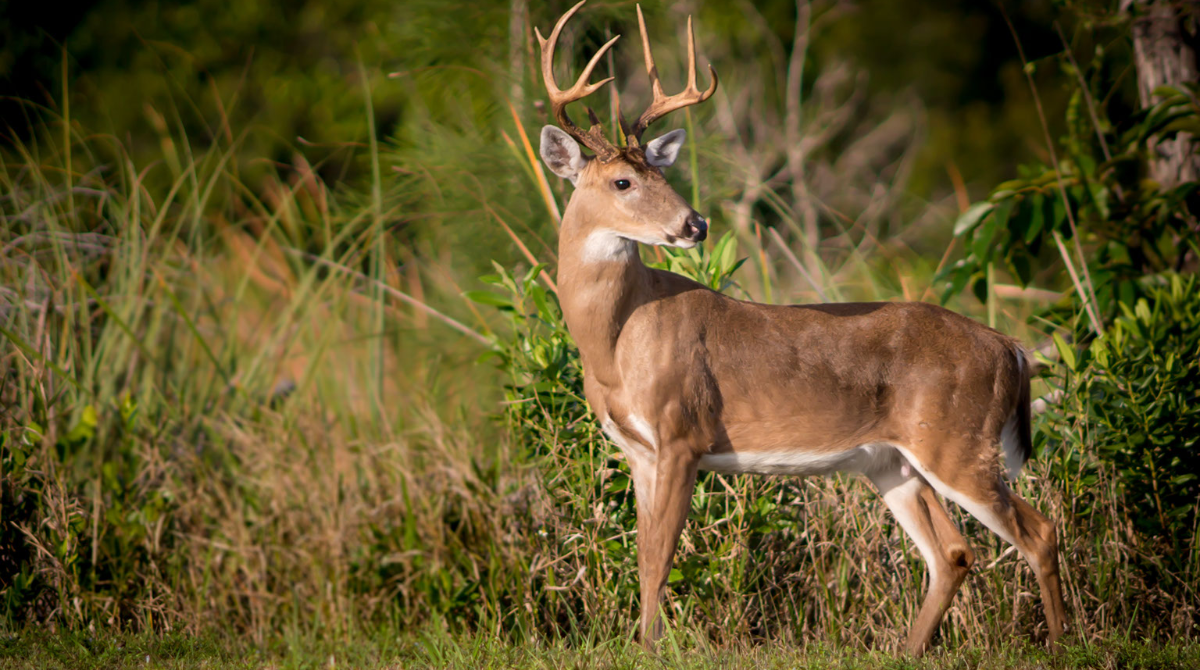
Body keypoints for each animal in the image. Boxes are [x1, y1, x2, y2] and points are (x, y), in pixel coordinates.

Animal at [535, 0, 1070, 657]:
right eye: (623, 182)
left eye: (663, 176)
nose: (695, 224)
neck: (615, 341)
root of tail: (1010, 348)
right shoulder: (638, 451)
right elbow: (642, 558)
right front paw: (646, 645)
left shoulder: (683, 433)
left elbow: (660, 558)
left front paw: (650, 650)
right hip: (893, 462)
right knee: (953, 552)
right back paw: (907, 651)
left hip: (959, 442)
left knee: (1038, 531)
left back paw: (1064, 645)